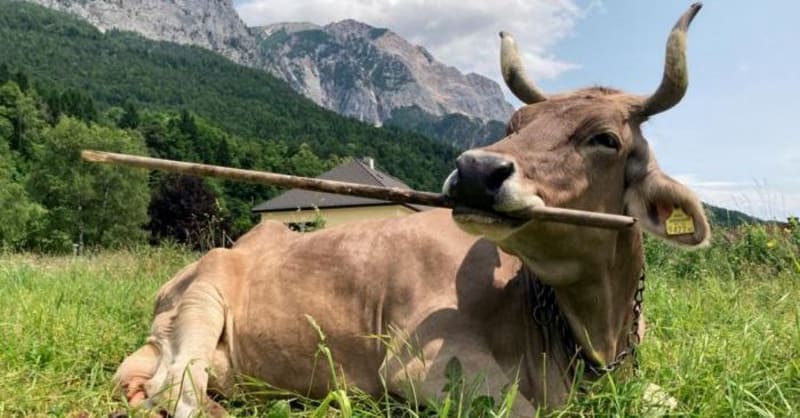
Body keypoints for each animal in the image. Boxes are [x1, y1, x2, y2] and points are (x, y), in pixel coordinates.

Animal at [113, 3, 708, 417]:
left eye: (606, 138)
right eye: (515, 125)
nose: (475, 170)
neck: (593, 338)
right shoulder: (424, 366)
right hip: (202, 302)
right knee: (177, 389)